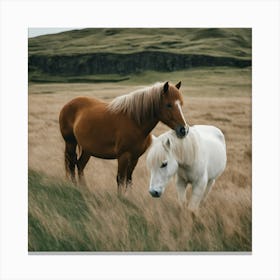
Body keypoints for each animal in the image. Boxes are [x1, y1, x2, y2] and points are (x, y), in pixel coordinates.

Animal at [58, 81, 188, 192]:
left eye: (181, 104)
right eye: (168, 105)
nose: (184, 130)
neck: (135, 122)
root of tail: (68, 104)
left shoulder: (135, 157)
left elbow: (128, 179)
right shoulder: (123, 156)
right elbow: (120, 179)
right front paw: (121, 198)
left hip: (87, 149)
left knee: (80, 165)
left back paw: (84, 188)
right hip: (70, 143)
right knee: (71, 164)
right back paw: (74, 186)